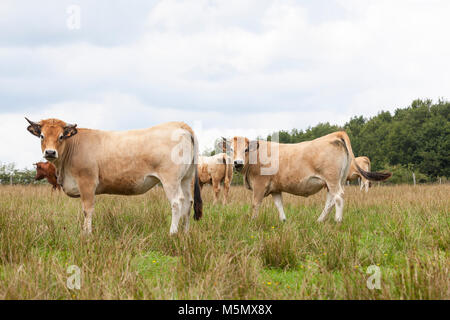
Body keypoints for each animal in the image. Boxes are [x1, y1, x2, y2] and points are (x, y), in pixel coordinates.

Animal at [25, 117, 202, 235]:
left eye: (61, 136)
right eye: (42, 136)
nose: (50, 152)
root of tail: (181, 125)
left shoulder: (87, 182)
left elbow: (87, 209)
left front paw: (86, 234)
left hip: (170, 179)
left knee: (177, 202)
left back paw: (172, 233)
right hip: (186, 178)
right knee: (188, 202)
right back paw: (184, 233)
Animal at [223, 132, 392, 222]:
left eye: (245, 149)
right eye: (231, 149)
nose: (237, 163)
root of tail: (334, 135)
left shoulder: (259, 185)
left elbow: (255, 204)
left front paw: (253, 221)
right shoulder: (275, 188)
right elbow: (279, 205)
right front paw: (283, 221)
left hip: (332, 180)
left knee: (338, 198)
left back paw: (337, 221)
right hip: (337, 181)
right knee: (330, 201)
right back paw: (319, 221)